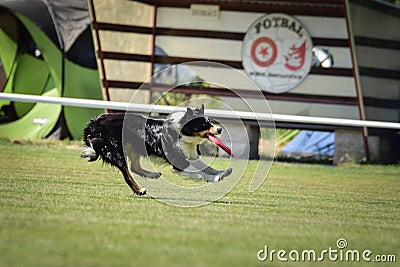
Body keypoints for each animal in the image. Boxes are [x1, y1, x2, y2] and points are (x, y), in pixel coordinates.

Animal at [80, 105, 231, 196]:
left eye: (209, 121)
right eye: (204, 124)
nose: (219, 129)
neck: (182, 132)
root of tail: (93, 123)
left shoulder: (190, 155)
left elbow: (207, 167)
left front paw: (223, 172)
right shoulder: (178, 161)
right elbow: (199, 173)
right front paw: (216, 178)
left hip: (133, 147)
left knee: (134, 167)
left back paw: (153, 175)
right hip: (115, 151)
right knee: (127, 173)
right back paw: (139, 189)